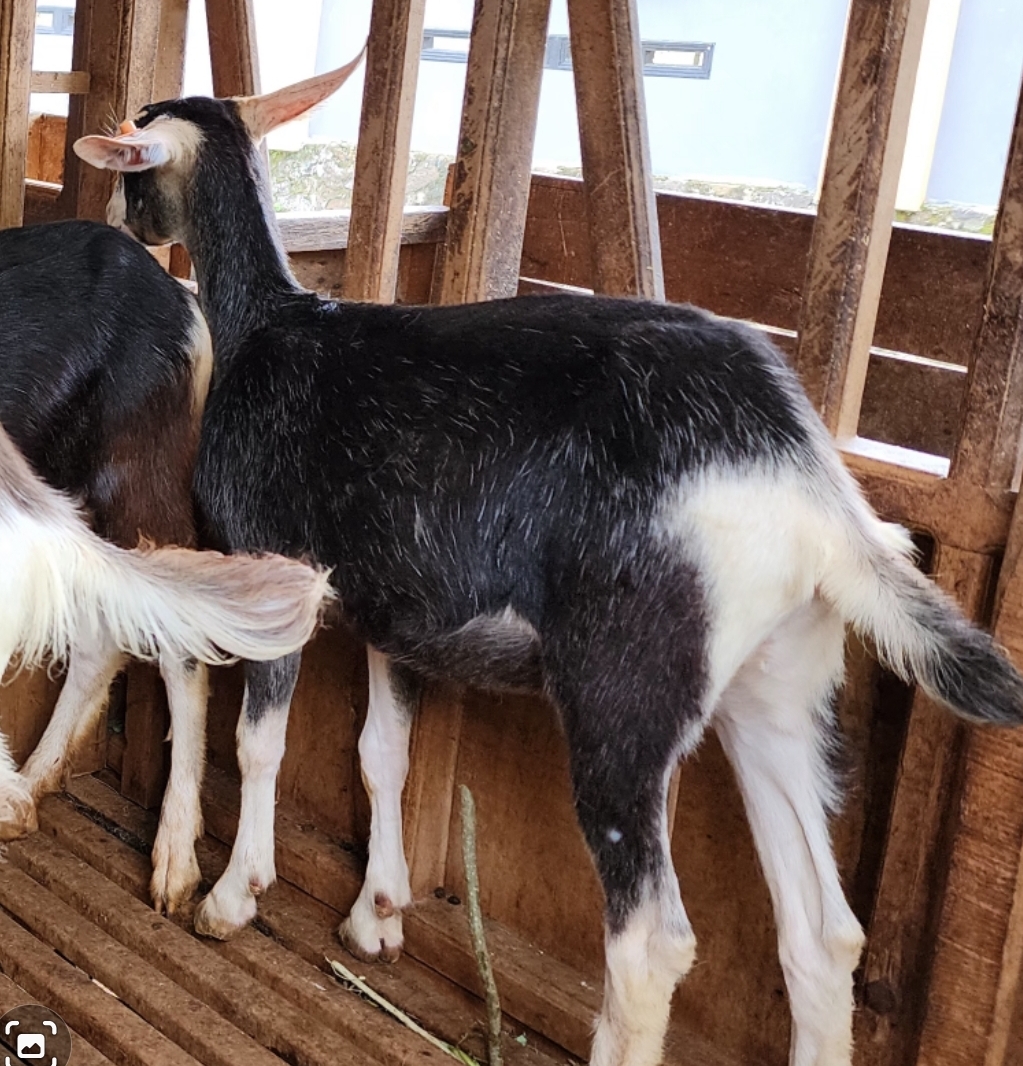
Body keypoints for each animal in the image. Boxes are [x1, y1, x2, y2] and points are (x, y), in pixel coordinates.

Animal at [0, 219, 324, 911]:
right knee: (105, 620)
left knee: (177, 630)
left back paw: (175, 859)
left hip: (142, 468)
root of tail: (180, 297)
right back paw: (36, 781)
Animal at [74, 61, 1023, 1066]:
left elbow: (261, 742)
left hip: (624, 686)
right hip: (780, 679)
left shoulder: (277, 562)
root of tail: (804, 476)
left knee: (651, 941)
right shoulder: (398, 611)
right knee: (822, 930)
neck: (268, 323)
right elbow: (382, 755)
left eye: (134, 161)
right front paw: (377, 915)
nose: (131, 224)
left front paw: (233, 895)